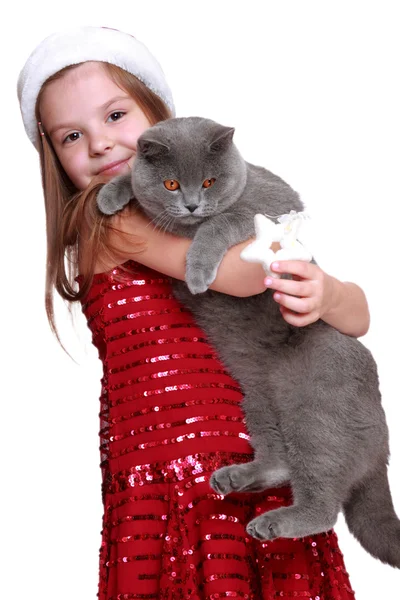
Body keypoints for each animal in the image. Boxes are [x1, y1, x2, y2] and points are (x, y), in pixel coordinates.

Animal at [97, 116, 400, 568]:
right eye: (171, 184)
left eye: (209, 181)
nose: (191, 205)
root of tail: (382, 449)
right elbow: (135, 182)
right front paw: (110, 193)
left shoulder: (269, 203)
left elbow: (219, 223)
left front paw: (197, 271)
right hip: (258, 396)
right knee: (280, 462)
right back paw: (236, 478)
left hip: (317, 408)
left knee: (323, 503)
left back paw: (272, 523)